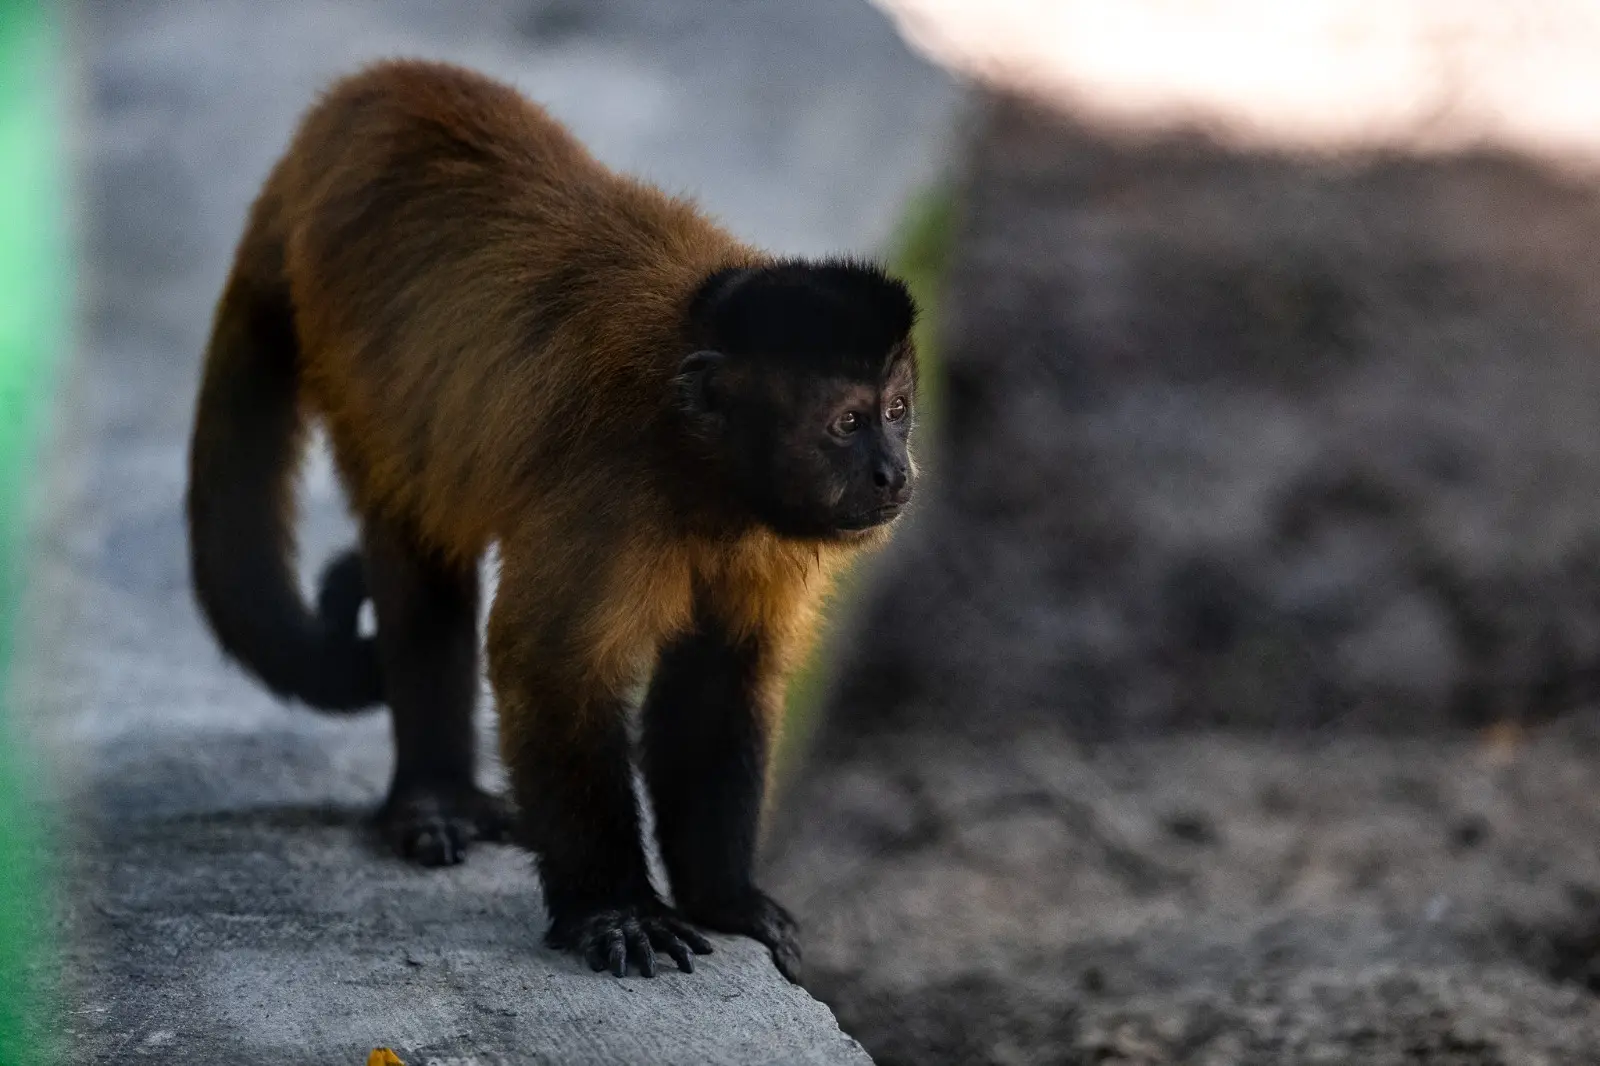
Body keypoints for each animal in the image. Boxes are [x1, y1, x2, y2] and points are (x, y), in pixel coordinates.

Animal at [185, 59, 918, 982]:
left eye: (898, 411)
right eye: (848, 424)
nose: (897, 472)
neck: (700, 462)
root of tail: (353, 101)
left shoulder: (768, 534)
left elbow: (720, 679)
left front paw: (725, 899)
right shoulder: (613, 492)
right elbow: (550, 666)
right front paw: (615, 908)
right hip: (350, 338)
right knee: (417, 541)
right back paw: (434, 791)